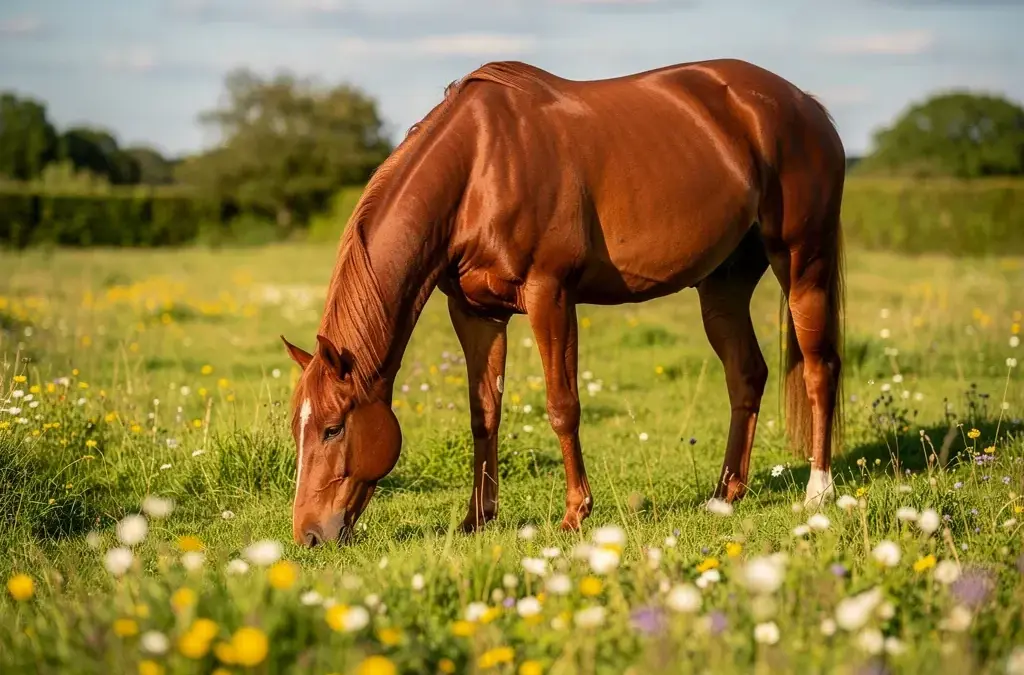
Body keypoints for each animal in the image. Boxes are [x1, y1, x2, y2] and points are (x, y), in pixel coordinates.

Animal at [281, 57, 846, 547]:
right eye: (296, 428)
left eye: (332, 428)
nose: (309, 535)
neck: (480, 167)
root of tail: (806, 105)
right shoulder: (476, 313)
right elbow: (484, 413)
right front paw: (476, 518)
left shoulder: (549, 295)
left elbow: (562, 406)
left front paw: (576, 513)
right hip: (724, 286)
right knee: (746, 374)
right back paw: (724, 495)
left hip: (803, 263)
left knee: (820, 369)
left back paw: (818, 491)